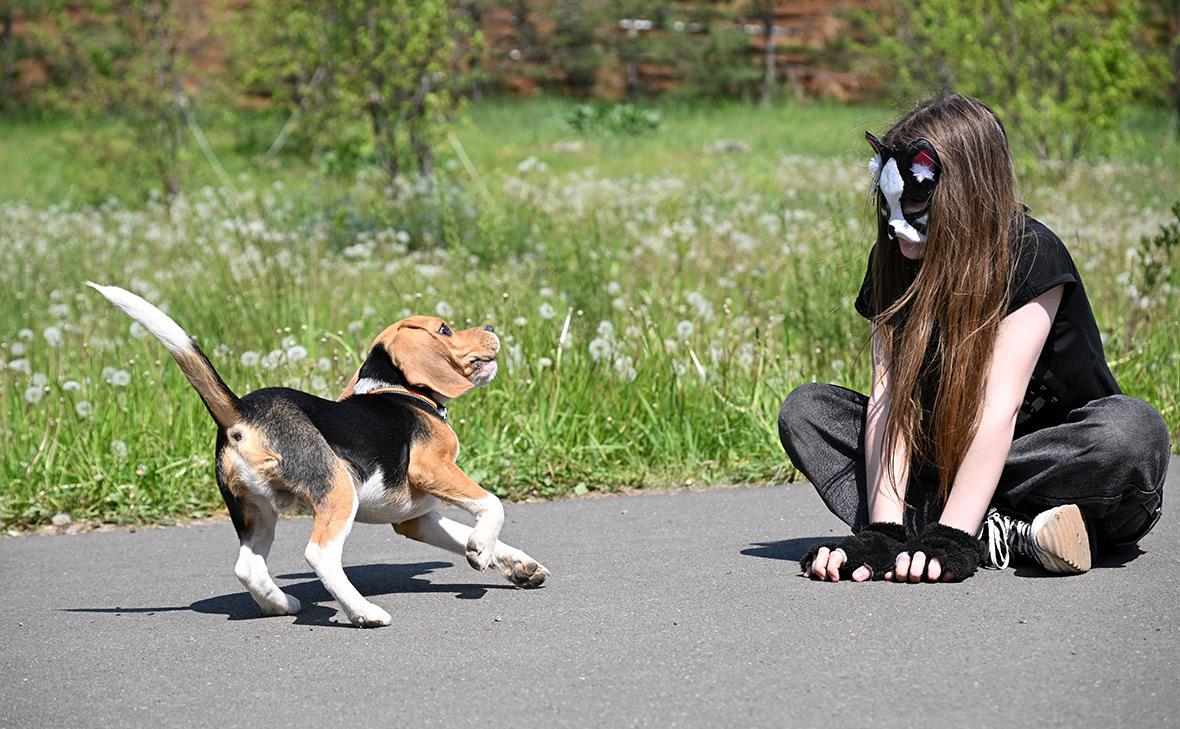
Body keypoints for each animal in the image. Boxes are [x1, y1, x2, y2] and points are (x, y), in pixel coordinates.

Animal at [89, 281, 549, 622]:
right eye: (445, 330)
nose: (491, 326)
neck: (398, 390)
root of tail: (241, 411)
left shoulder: (415, 518)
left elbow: (466, 533)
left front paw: (518, 566)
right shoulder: (432, 469)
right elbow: (492, 505)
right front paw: (481, 549)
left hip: (255, 511)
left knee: (247, 566)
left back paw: (281, 604)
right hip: (338, 489)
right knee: (320, 554)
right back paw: (363, 612)